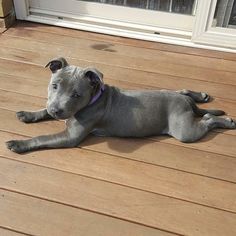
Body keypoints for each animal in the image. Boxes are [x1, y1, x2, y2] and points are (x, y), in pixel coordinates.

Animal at [6, 57, 235, 153]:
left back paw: (226, 120)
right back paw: (201, 96)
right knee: (185, 91)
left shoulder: (70, 136)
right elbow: (42, 110)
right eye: (54, 85)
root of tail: (186, 103)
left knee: (207, 120)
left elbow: (42, 137)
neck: (95, 97)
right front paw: (29, 114)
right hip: (175, 94)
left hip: (184, 130)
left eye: (77, 95)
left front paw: (19, 144)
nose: (56, 110)